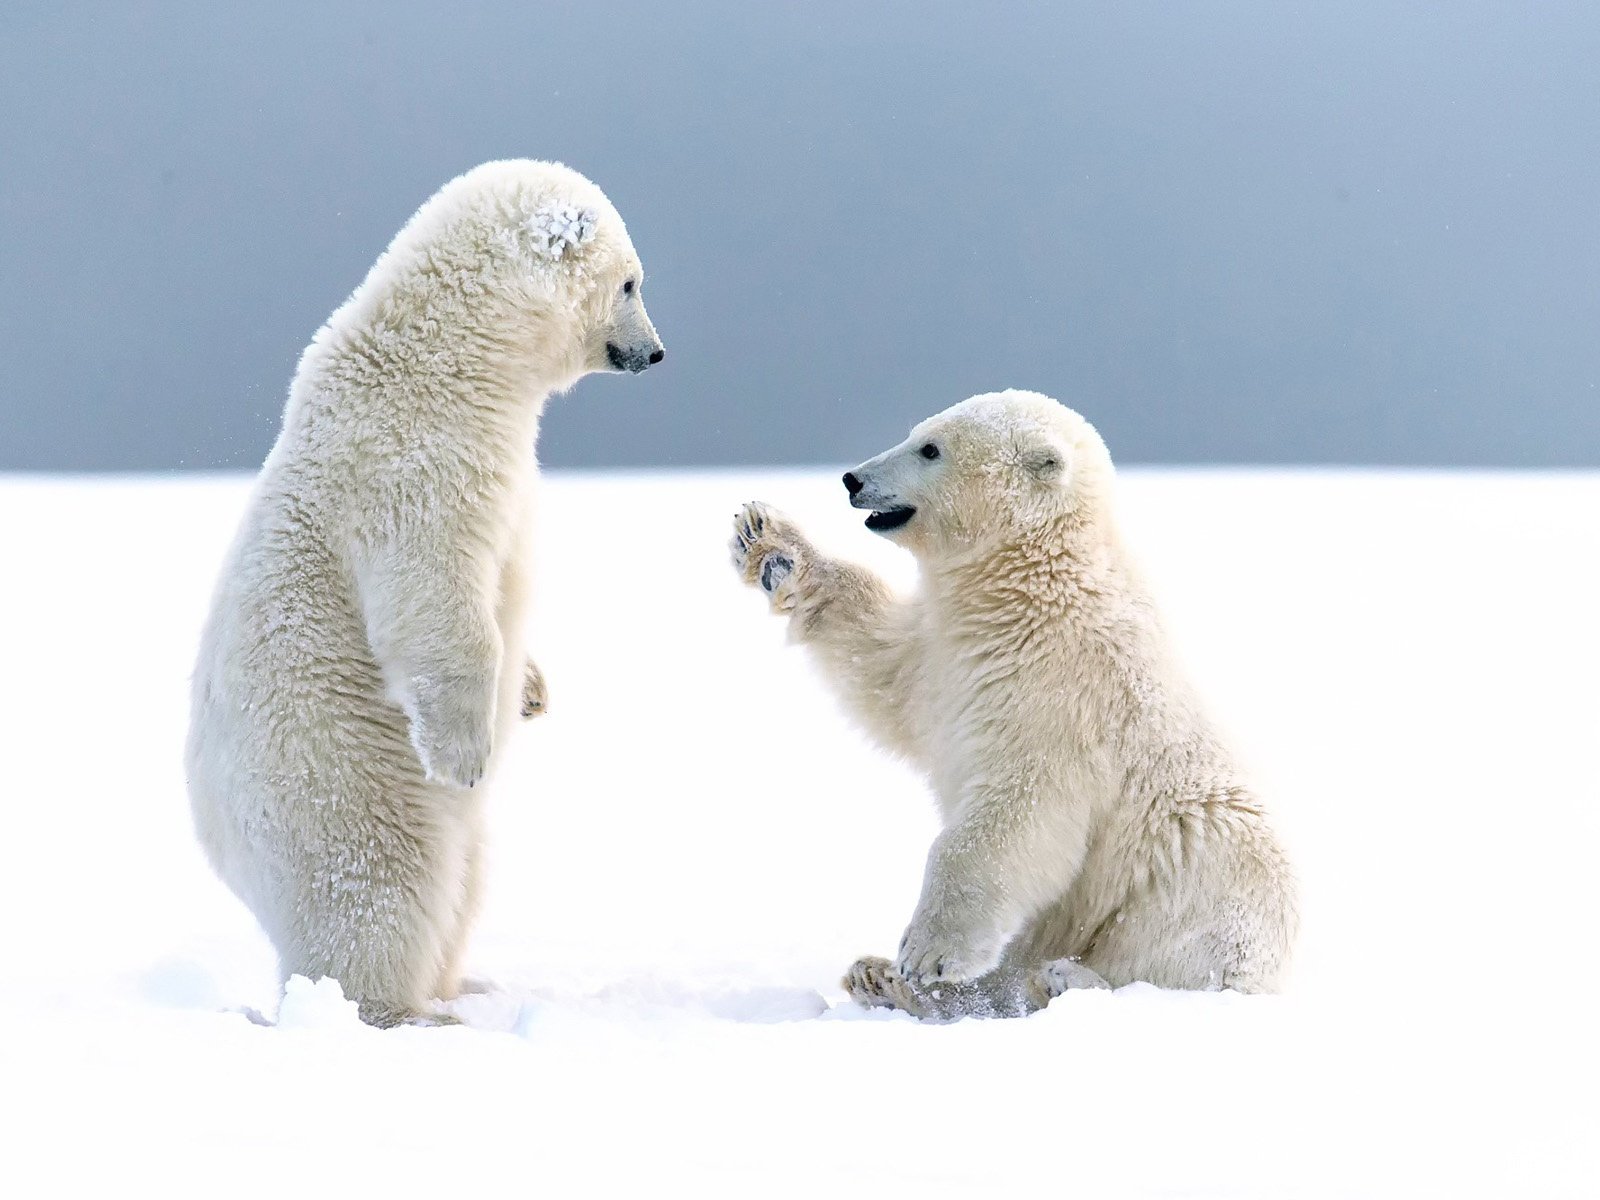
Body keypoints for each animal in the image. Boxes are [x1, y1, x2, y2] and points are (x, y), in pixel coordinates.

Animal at [187, 157, 662, 1024]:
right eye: (629, 283)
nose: (655, 351)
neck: (443, 355)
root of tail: (223, 849)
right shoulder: (415, 461)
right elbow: (434, 598)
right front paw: (468, 752)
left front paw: (532, 689)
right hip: (335, 785)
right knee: (381, 890)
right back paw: (407, 1010)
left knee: (466, 882)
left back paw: (466, 983)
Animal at [732, 390, 1292, 1017]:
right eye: (916, 433)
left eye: (931, 449)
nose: (853, 479)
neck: (1031, 585)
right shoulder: (946, 651)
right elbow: (881, 668)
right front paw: (768, 541)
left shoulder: (1059, 692)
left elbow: (1016, 814)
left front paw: (928, 952)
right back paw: (880, 978)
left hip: (1197, 886)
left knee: (1174, 956)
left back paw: (1064, 979)